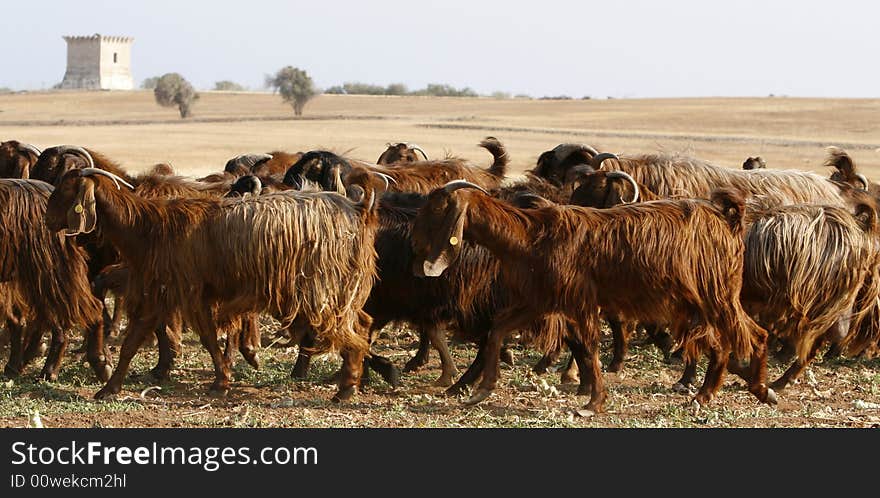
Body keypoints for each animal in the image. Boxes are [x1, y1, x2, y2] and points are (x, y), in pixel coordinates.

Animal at [410, 181, 772, 410]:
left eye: (437, 210)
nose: (413, 243)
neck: (531, 236)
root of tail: (727, 218)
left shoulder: (579, 301)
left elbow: (588, 346)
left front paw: (593, 402)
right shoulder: (542, 299)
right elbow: (498, 328)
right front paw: (481, 391)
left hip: (716, 294)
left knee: (751, 335)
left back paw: (753, 389)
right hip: (700, 301)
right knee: (729, 342)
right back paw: (720, 394)